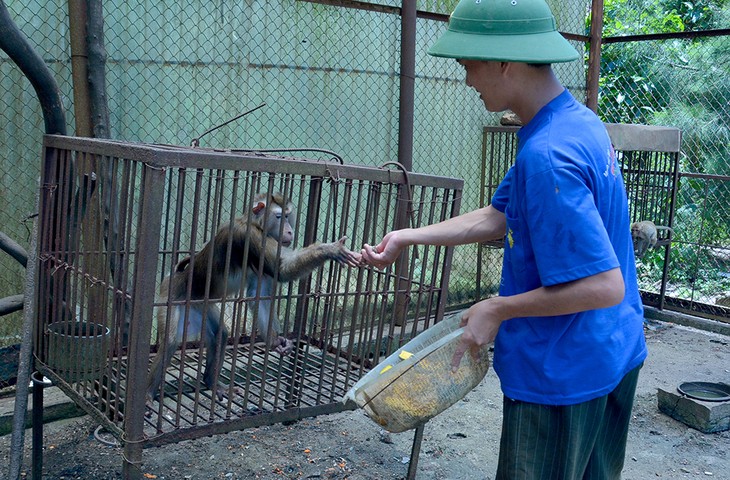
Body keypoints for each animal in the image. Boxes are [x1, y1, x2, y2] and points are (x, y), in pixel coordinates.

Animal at [147, 191, 362, 404]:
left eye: (288, 216)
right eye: (279, 217)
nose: (290, 231)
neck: (257, 224)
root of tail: (173, 277)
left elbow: (259, 295)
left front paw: (275, 341)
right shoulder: (251, 237)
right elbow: (281, 269)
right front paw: (330, 249)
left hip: (200, 306)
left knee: (219, 334)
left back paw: (212, 382)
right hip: (170, 298)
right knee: (170, 342)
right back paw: (148, 394)